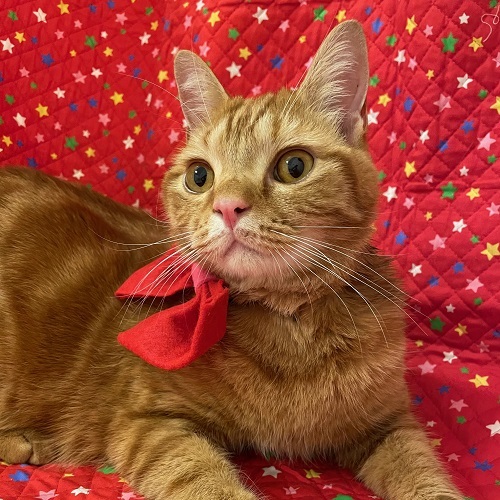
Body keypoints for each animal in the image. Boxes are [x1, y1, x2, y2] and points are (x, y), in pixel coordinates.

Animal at [0, 20, 462, 500]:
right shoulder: (149, 424)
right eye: (199, 176)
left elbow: (422, 473)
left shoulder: (389, 426)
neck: (290, 329)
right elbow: (203, 479)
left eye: (294, 166)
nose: (227, 206)